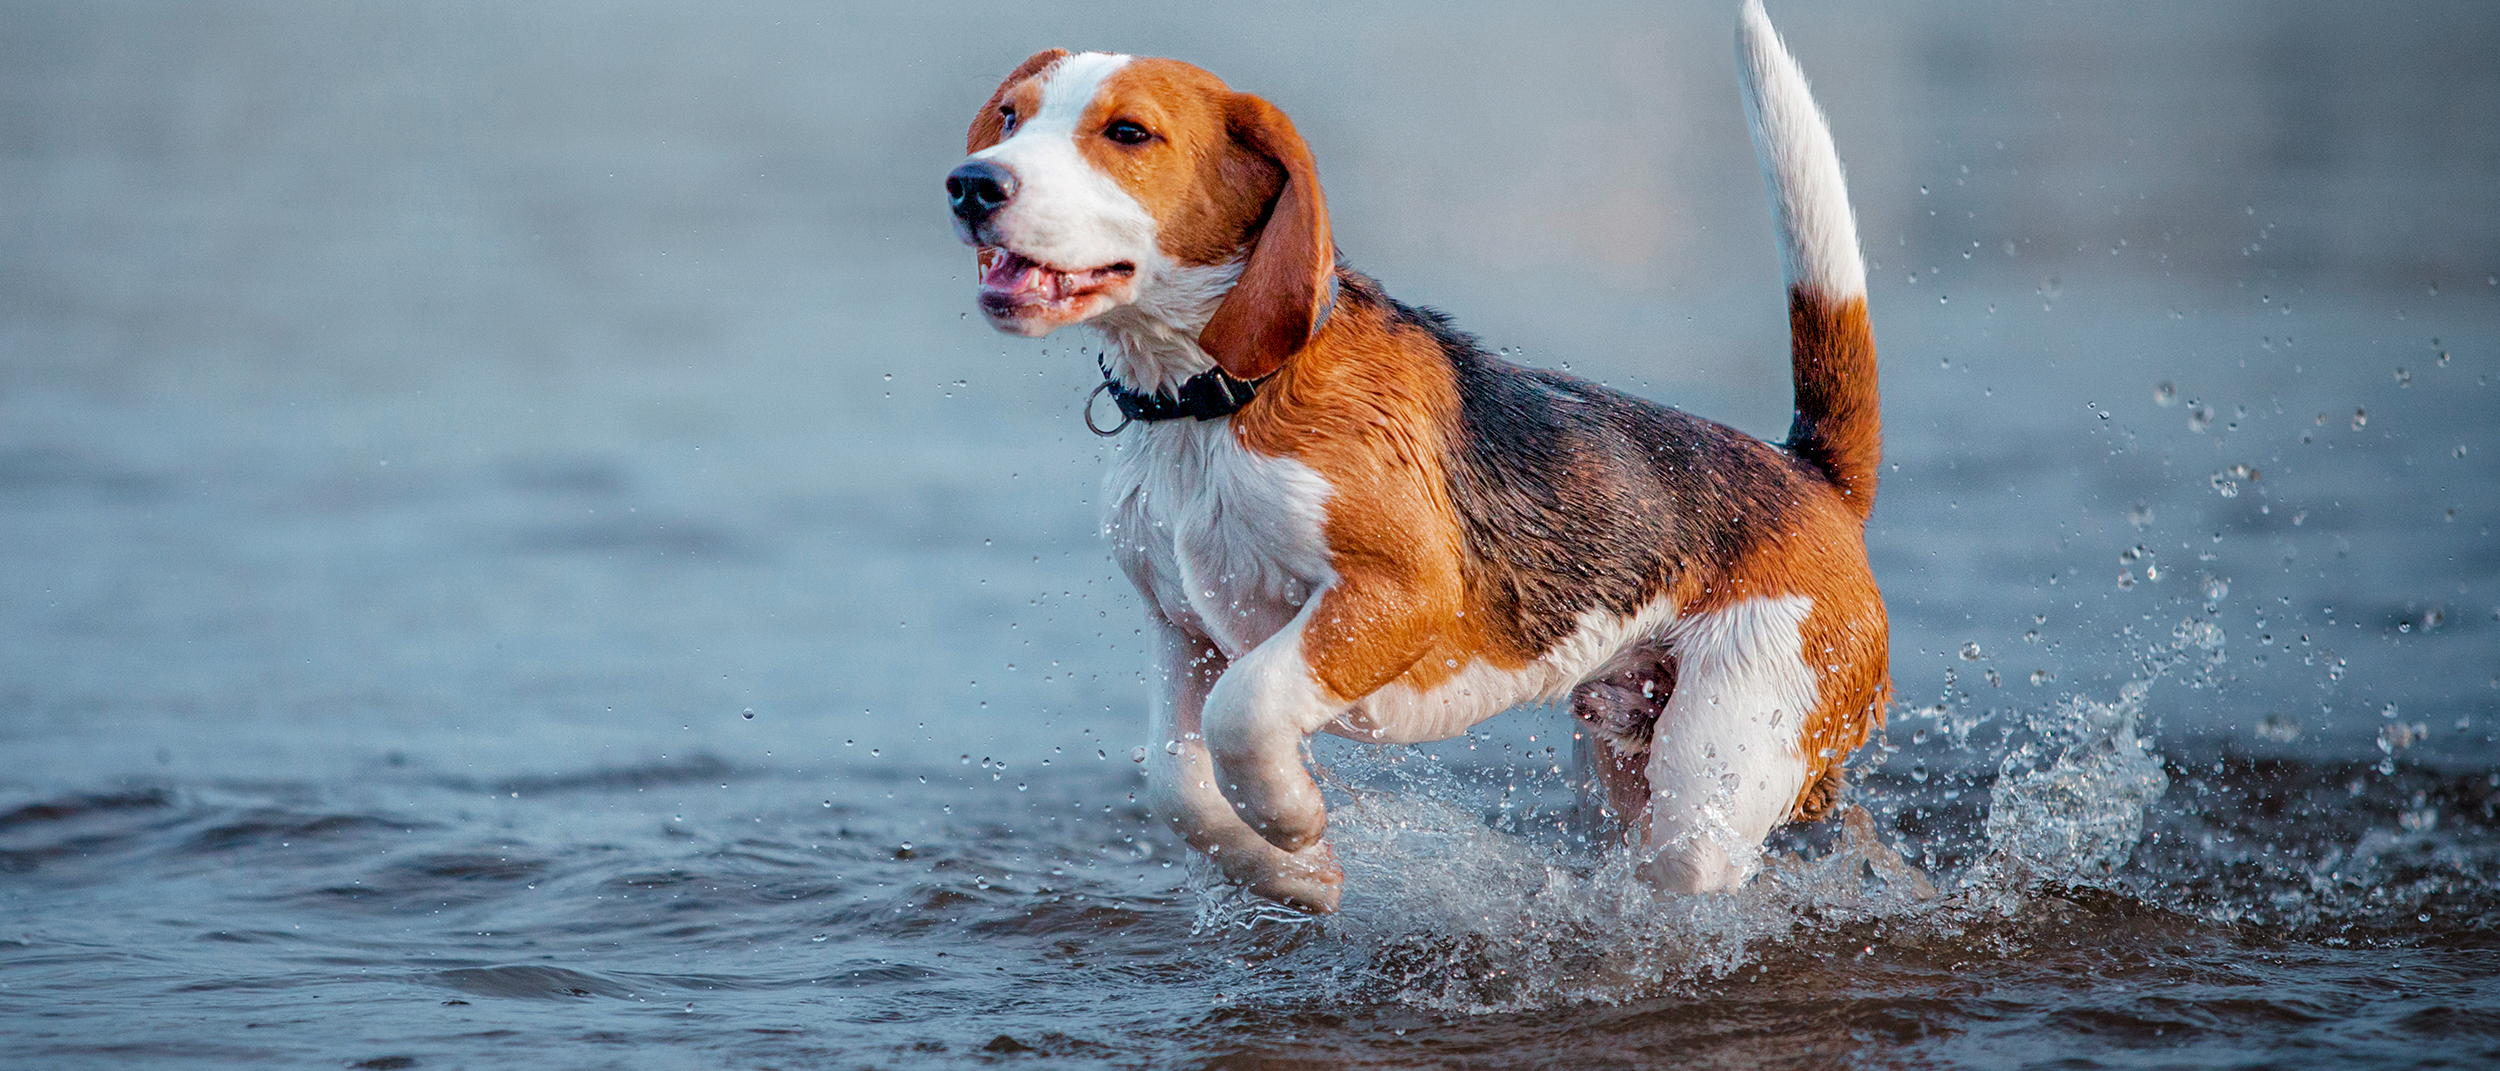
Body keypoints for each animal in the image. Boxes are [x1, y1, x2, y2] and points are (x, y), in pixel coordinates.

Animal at [945, 0, 1880, 910]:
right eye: (1010, 116)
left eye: (1129, 133)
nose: (971, 184)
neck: (1211, 402)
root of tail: (1811, 475)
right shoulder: (1184, 627)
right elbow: (1176, 781)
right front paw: (1294, 873)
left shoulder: (1401, 593)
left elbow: (1243, 707)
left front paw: (1294, 820)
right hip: (1623, 760)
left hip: (1716, 769)